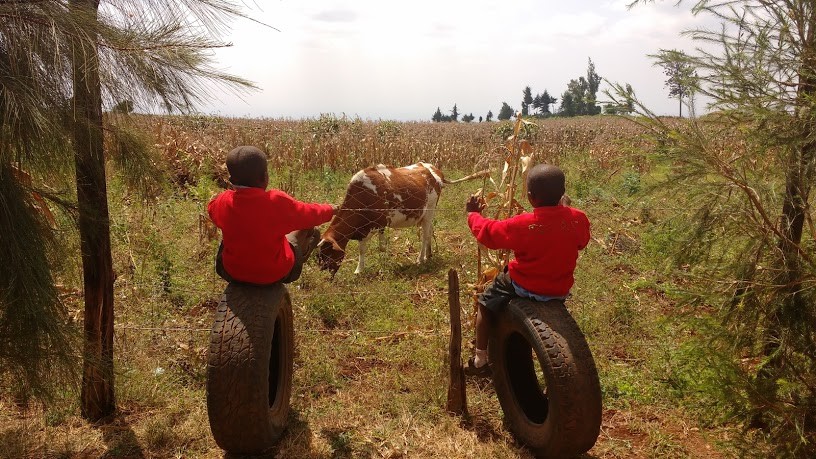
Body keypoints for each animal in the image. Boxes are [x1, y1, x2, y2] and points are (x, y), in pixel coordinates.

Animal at [316, 162, 488, 275]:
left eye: (327, 254)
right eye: (319, 255)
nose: (323, 275)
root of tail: (433, 169)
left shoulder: (379, 223)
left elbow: (381, 248)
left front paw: (383, 267)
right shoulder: (364, 229)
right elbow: (362, 249)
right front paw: (359, 269)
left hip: (429, 210)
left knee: (425, 235)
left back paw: (420, 259)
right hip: (426, 215)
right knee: (429, 232)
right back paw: (428, 255)